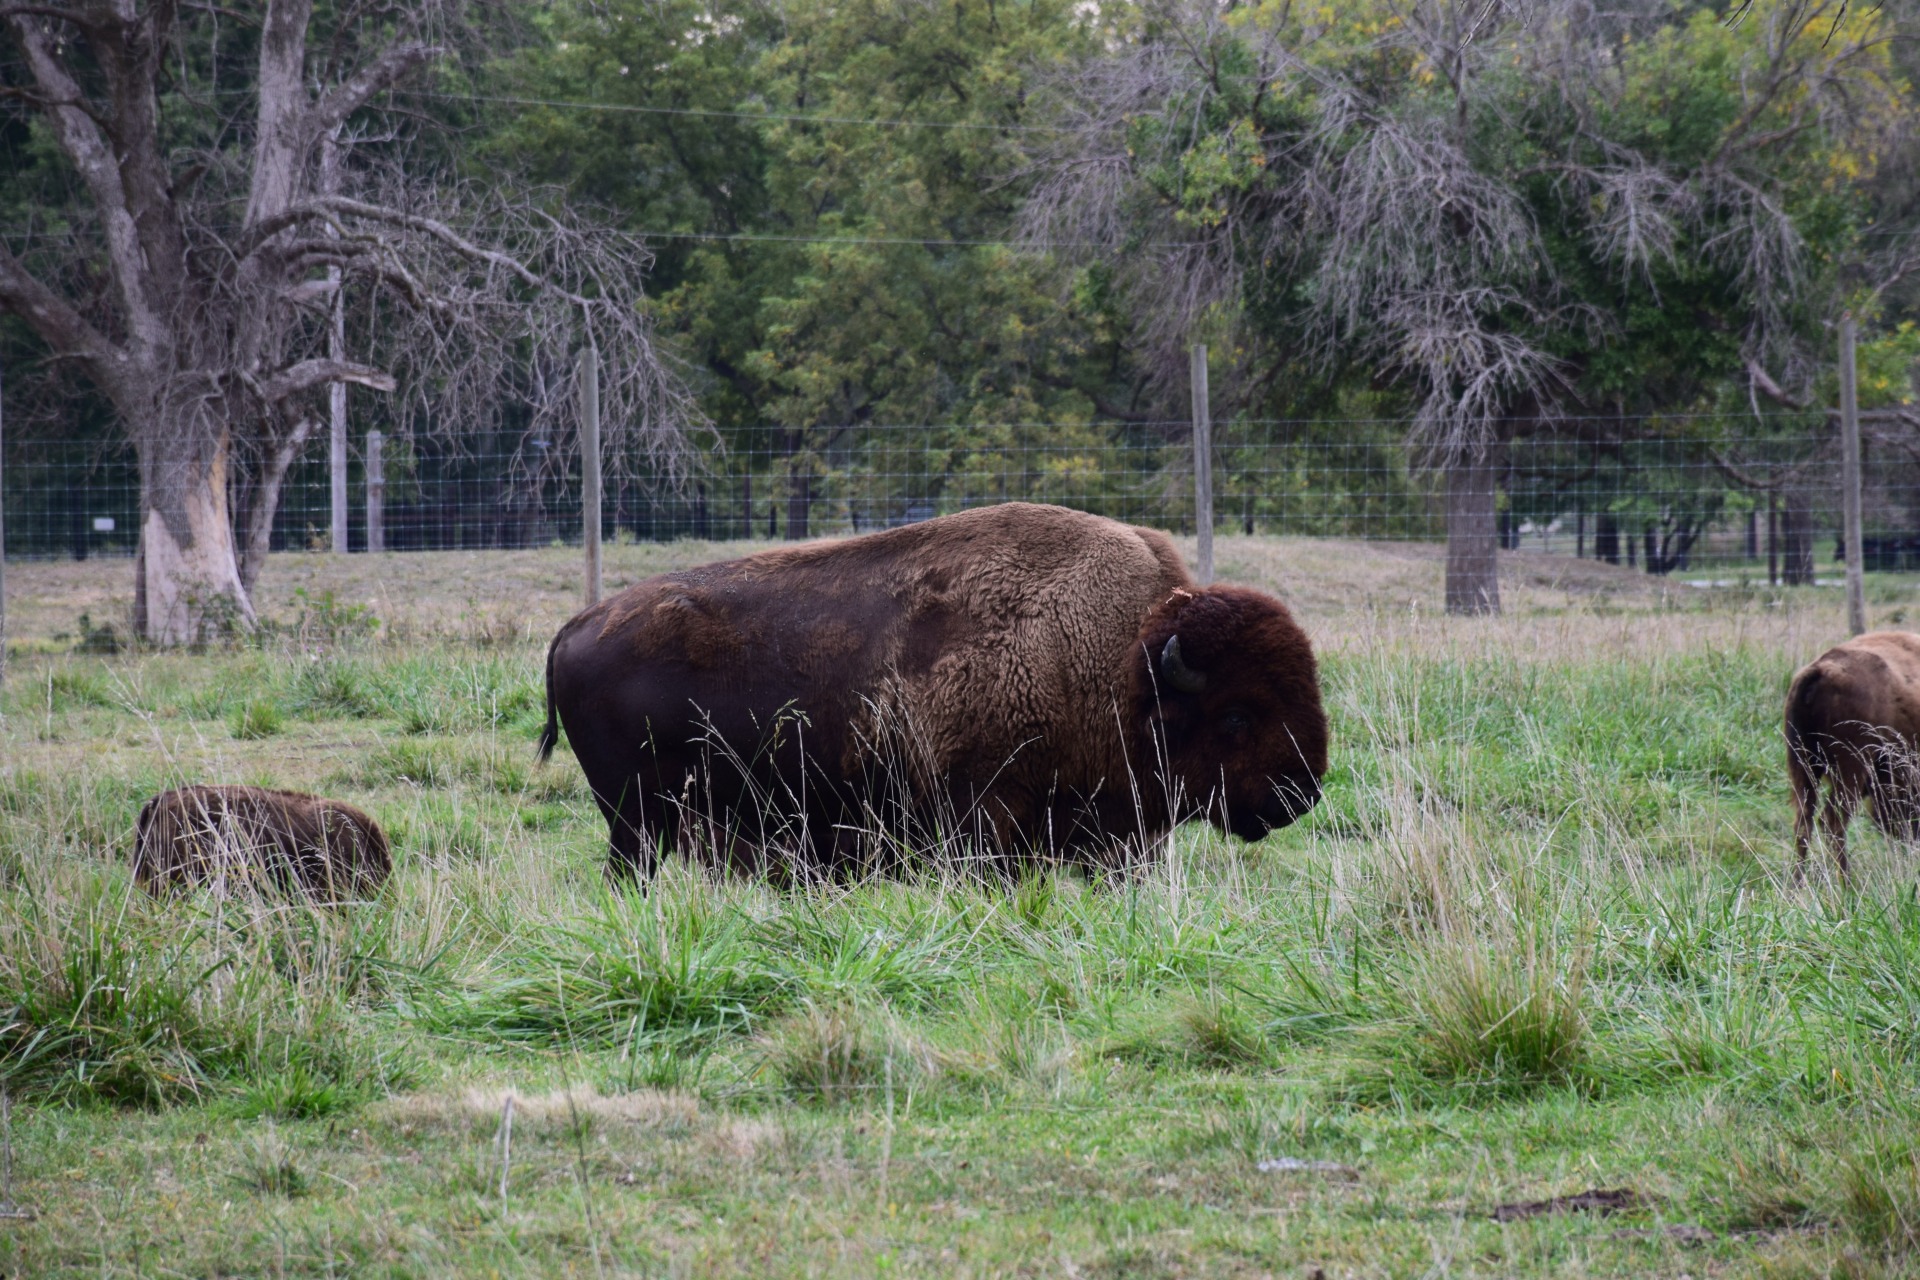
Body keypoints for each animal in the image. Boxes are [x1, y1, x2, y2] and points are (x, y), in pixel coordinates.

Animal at [533, 498, 1328, 882]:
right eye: (1235, 715)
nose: (1301, 792)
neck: (1122, 660)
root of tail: (577, 626)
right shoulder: (986, 816)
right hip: (636, 822)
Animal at [1774, 633, 1920, 875]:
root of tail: (1819, 671)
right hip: (1850, 770)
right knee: (1833, 822)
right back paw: (1847, 882)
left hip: (1804, 767)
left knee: (1803, 823)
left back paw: (1798, 883)